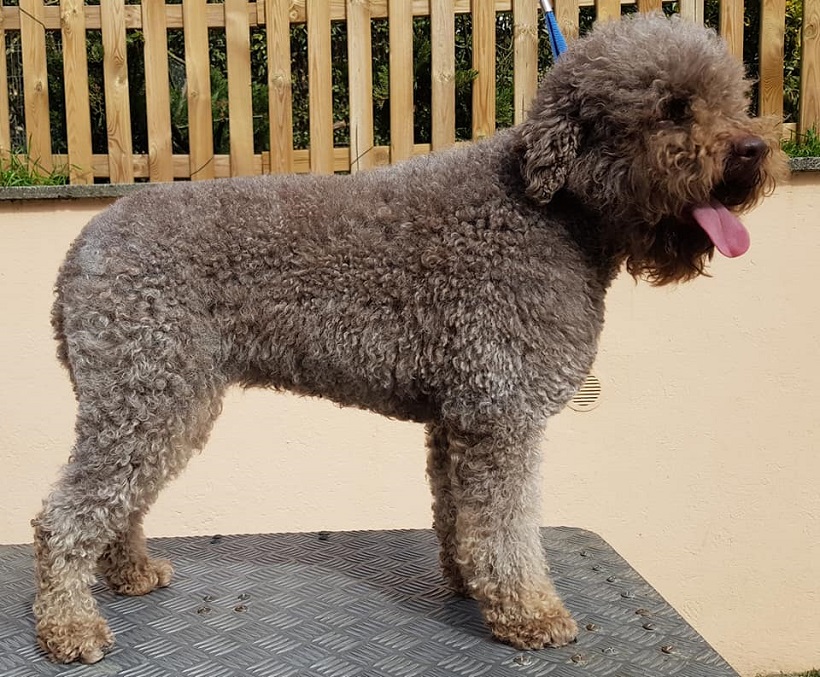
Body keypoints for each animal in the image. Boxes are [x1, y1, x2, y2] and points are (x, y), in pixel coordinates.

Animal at [33, 13, 788, 664]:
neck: (549, 209)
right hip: (148, 392)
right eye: (673, 107)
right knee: (64, 515)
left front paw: (468, 587)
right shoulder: (501, 412)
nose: (754, 150)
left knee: (120, 499)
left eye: (735, 96)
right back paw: (70, 628)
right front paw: (530, 612)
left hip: (164, 399)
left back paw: (130, 571)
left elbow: (461, 516)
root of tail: (82, 244)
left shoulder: (459, 417)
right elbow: (508, 526)